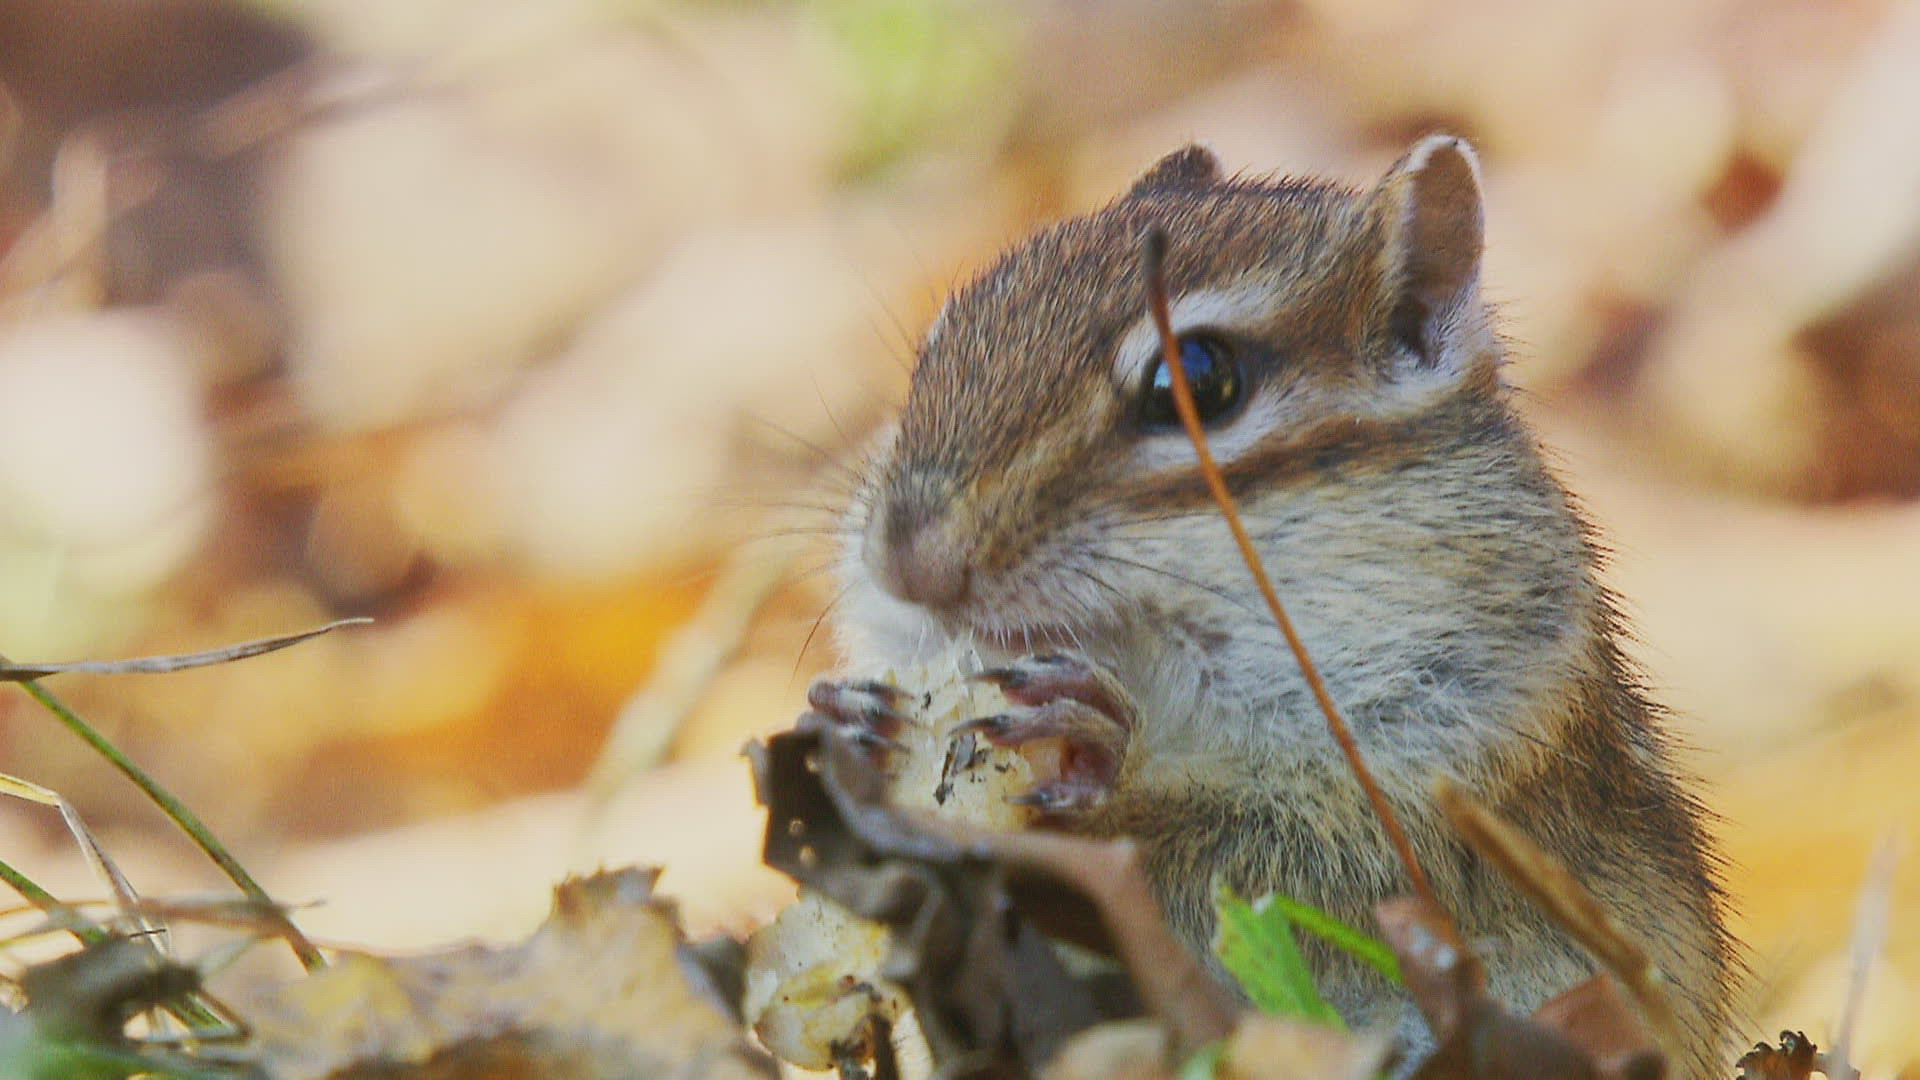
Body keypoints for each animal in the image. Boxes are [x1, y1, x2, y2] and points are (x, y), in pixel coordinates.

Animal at [806, 135, 1739, 1076]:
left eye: (1200, 380)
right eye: (941, 339)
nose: (905, 562)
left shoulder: (1456, 759)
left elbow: (1282, 857)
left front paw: (1106, 763)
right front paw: (851, 724)